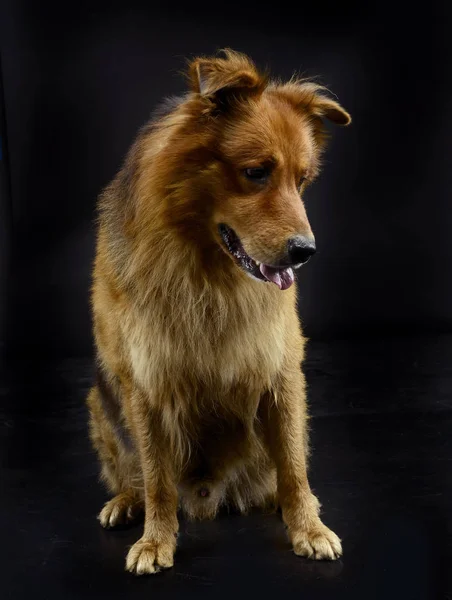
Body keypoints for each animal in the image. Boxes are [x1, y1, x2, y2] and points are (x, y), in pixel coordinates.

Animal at [87, 49, 350, 576]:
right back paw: (126, 502)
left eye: (302, 180)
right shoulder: (145, 383)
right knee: (132, 473)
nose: (306, 251)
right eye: (256, 172)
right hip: (99, 401)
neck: (205, 274)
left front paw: (308, 529)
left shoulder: (281, 372)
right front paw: (156, 540)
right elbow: (157, 478)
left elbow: (295, 468)